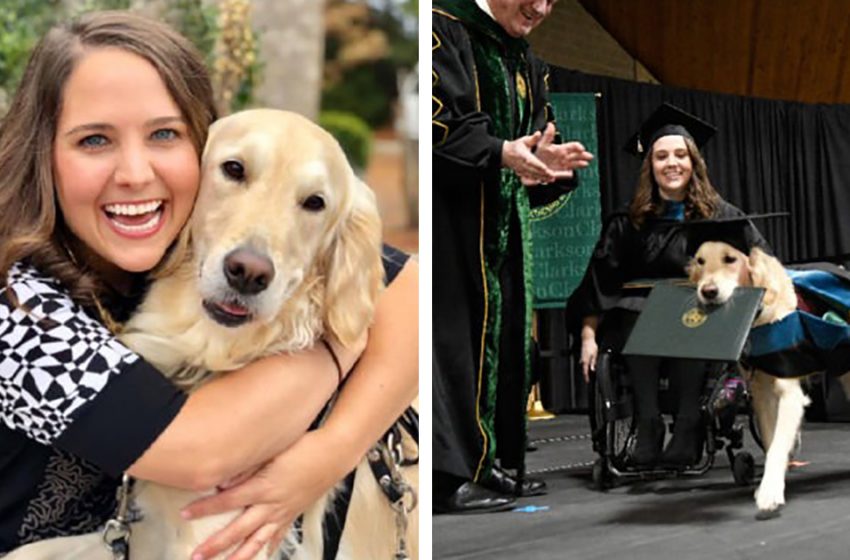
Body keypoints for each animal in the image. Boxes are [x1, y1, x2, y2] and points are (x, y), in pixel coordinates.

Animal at [5, 108, 418, 556]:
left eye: (315, 203)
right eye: (234, 169)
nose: (248, 273)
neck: (211, 352)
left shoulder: (221, 538)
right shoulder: (143, 531)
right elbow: (31, 549)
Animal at [684, 243, 804, 520]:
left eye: (730, 259)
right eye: (700, 261)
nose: (708, 291)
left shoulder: (790, 394)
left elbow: (778, 445)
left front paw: (769, 494)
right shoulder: (762, 394)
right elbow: (771, 442)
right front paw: (771, 485)